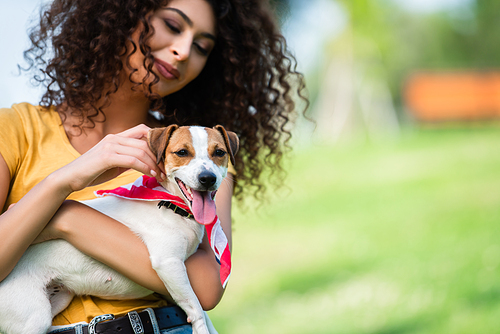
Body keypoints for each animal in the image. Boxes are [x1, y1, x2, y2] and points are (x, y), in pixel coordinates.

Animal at [0, 124, 240, 334]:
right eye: (182, 152)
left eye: (219, 152)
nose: (207, 178)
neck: (170, 204)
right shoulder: (168, 263)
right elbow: (196, 307)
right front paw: (201, 328)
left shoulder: (174, 278)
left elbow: (197, 306)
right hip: (33, 315)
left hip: (59, 297)